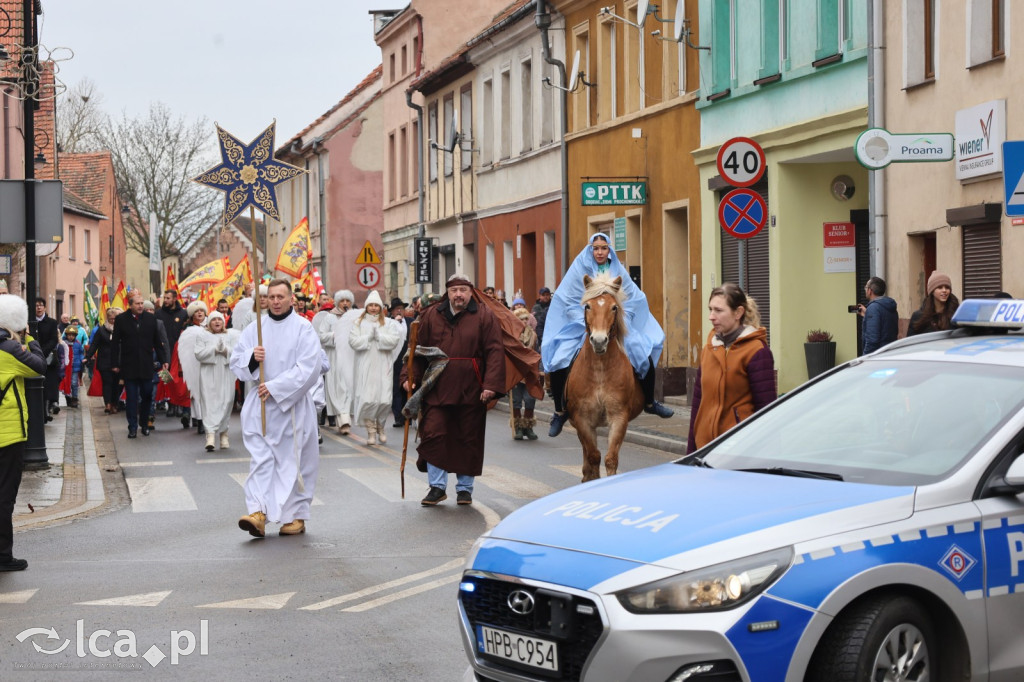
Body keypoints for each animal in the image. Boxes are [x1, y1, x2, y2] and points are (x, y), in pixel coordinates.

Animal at [565, 274, 643, 481]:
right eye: (587, 306)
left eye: (614, 307)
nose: (599, 341)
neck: (600, 370)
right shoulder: (582, 419)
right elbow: (593, 456)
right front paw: (591, 478)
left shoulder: (619, 417)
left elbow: (610, 459)